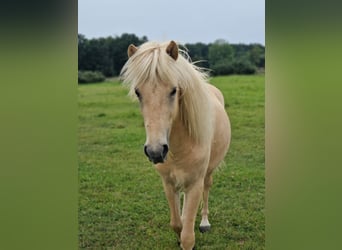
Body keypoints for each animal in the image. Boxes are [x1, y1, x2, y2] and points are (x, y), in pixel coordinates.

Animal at [120, 40, 230, 249]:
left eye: (173, 90)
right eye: (138, 92)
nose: (155, 151)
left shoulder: (195, 183)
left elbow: (188, 236)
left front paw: (188, 237)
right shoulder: (169, 183)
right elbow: (177, 224)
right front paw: (179, 234)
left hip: (208, 173)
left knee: (207, 189)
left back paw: (204, 223)